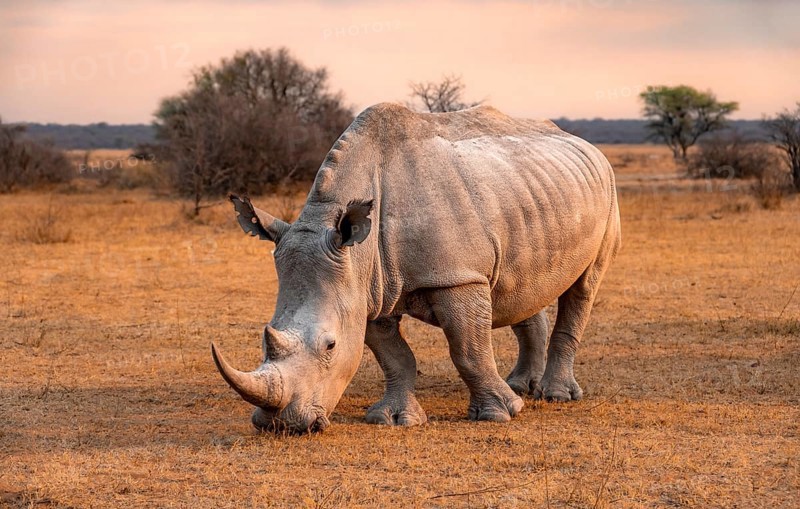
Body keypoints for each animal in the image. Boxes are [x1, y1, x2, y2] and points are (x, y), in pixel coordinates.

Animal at [211, 103, 621, 433]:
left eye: (330, 345)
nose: (280, 426)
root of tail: (586, 144)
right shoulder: (367, 288)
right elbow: (394, 357)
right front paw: (394, 419)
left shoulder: (456, 277)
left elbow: (467, 349)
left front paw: (500, 414)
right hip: (531, 197)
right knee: (521, 287)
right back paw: (521, 386)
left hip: (607, 190)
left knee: (584, 285)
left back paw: (554, 396)